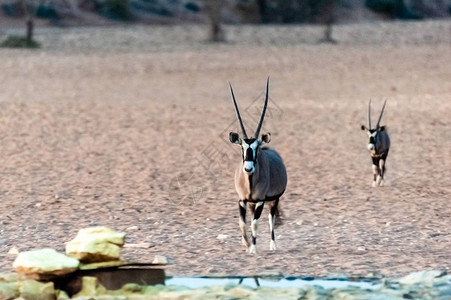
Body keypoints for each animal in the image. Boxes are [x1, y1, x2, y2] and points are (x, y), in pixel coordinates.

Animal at [228, 79, 288, 253]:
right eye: (242, 147)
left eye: (256, 148)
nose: (248, 169)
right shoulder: (242, 200)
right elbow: (242, 223)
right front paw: (247, 244)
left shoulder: (261, 200)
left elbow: (255, 224)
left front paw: (253, 248)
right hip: (252, 203)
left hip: (273, 200)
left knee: (270, 219)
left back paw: (273, 245)